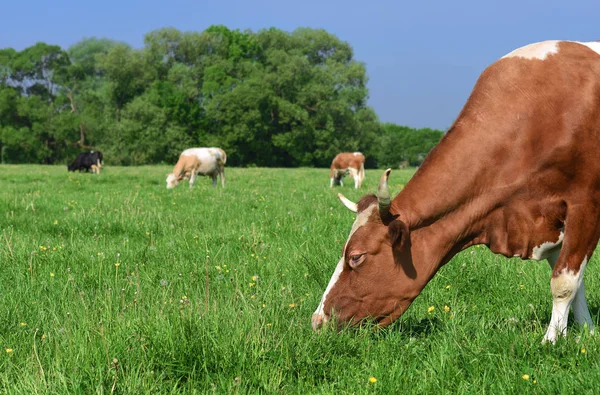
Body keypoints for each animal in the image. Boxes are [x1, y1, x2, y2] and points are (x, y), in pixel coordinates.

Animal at [312, 39, 600, 344]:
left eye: (356, 256)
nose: (317, 321)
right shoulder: (551, 221)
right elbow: (576, 282)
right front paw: (587, 333)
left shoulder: (585, 204)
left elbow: (564, 282)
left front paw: (551, 341)